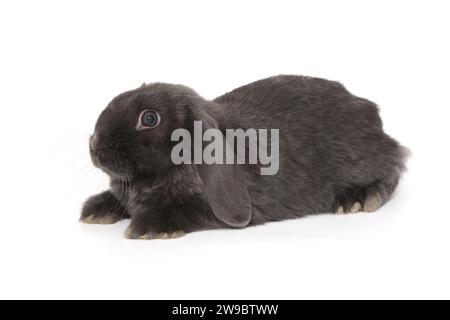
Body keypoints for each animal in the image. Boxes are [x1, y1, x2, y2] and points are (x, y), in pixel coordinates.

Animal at [80, 75, 408, 239]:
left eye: (149, 118)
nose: (94, 146)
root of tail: (368, 109)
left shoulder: (213, 208)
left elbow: (186, 210)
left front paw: (149, 228)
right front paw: (95, 211)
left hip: (363, 156)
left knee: (394, 168)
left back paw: (358, 199)